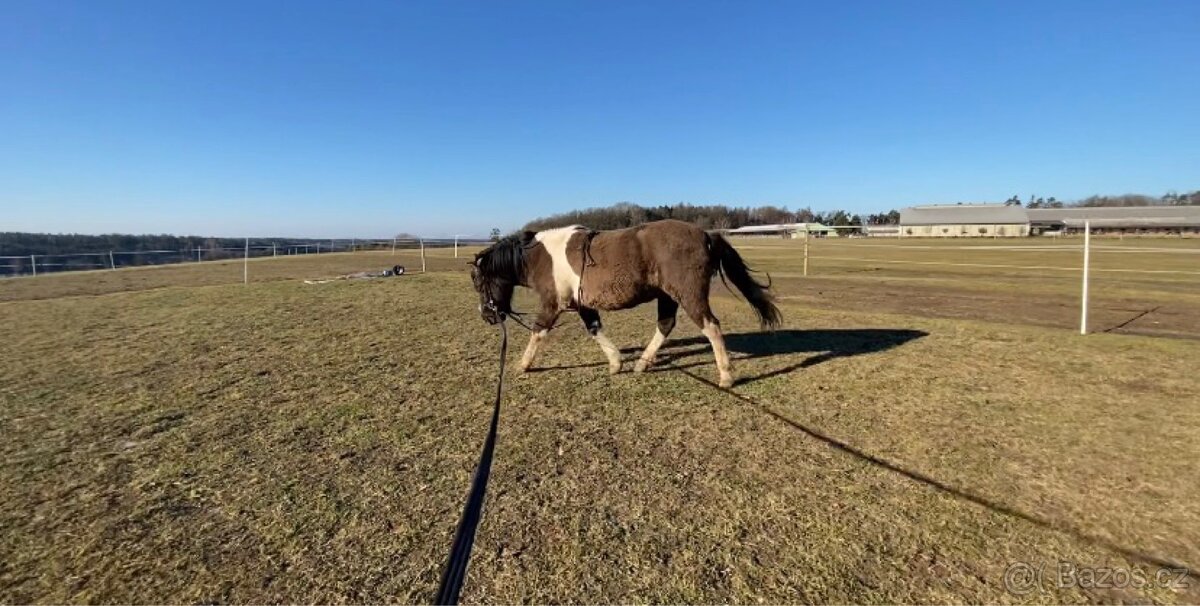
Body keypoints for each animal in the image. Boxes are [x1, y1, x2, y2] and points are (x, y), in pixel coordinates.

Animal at [470, 219, 781, 388]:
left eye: (479, 283)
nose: (487, 315)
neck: (541, 256)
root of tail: (706, 235)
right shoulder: (582, 304)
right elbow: (595, 329)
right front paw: (616, 362)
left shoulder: (552, 303)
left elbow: (538, 332)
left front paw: (522, 364)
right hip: (667, 296)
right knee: (665, 324)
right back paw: (642, 363)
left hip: (689, 296)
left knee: (712, 327)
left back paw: (725, 376)